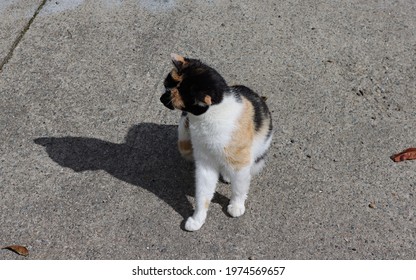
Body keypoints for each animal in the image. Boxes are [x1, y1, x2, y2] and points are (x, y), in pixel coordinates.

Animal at [160, 53, 272, 231]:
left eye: (172, 96)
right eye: (166, 87)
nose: (161, 98)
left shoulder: (241, 163)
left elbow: (239, 187)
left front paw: (236, 206)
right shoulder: (205, 163)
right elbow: (203, 194)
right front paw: (197, 219)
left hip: (257, 156)